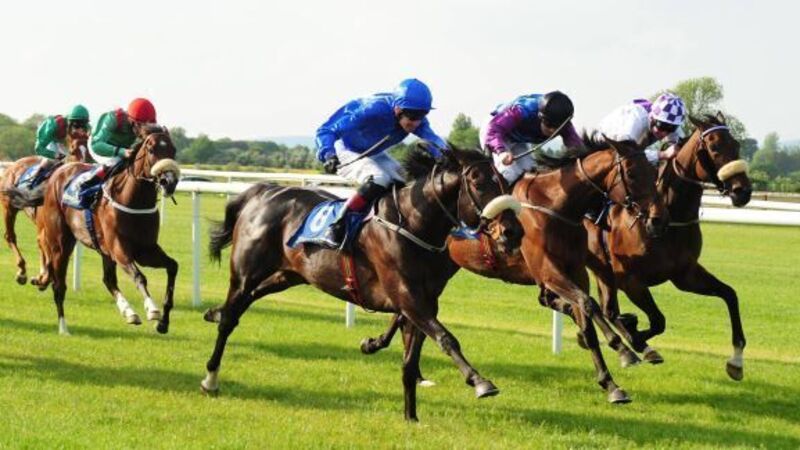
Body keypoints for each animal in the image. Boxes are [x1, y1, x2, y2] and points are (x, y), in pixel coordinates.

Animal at [1, 128, 89, 285]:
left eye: (89, 151)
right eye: (73, 150)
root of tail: (13, 165)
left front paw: (43, 278)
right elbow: (49, 249)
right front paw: (43, 279)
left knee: (39, 243)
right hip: (8, 208)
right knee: (10, 236)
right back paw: (22, 271)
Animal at [201, 146, 523, 421]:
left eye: (504, 183)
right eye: (478, 182)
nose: (513, 231)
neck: (413, 224)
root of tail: (261, 191)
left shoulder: (424, 302)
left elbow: (410, 362)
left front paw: (411, 417)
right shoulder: (408, 297)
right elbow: (446, 338)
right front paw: (481, 382)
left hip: (287, 275)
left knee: (245, 303)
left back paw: (214, 312)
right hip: (245, 273)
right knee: (231, 318)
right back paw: (210, 378)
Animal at [360, 137, 667, 404]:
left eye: (654, 172)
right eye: (632, 172)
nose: (656, 218)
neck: (556, 206)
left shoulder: (575, 270)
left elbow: (585, 315)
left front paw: (612, 379)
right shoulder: (549, 271)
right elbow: (587, 306)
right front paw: (622, 355)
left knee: (406, 310)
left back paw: (380, 346)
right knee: (407, 308)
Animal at [584, 113, 752, 380]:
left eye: (736, 145)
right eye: (715, 148)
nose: (743, 191)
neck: (670, 218)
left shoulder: (685, 274)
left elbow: (730, 295)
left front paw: (736, 362)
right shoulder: (629, 279)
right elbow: (657, 321)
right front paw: (636, 336)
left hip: (603, 270)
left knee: (607, 307)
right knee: (602, 307)